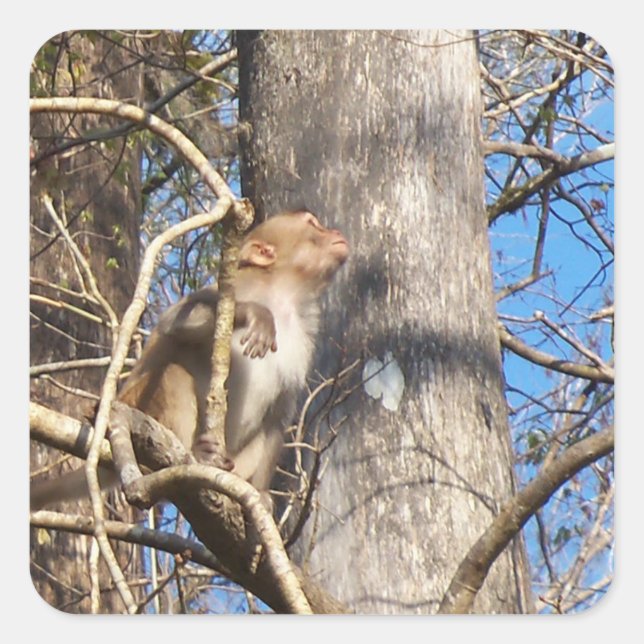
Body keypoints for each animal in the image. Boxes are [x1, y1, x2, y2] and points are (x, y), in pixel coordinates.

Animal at [30, 210, 349, 510]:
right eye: (312, 224)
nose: (335, 232)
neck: (284, 296)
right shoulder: (236, 287)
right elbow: (175, 321)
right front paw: (253, 313)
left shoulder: (305, 338)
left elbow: (278, 414)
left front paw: (260, 493)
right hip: (138, 404)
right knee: (173, 373)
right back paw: (195, 456)